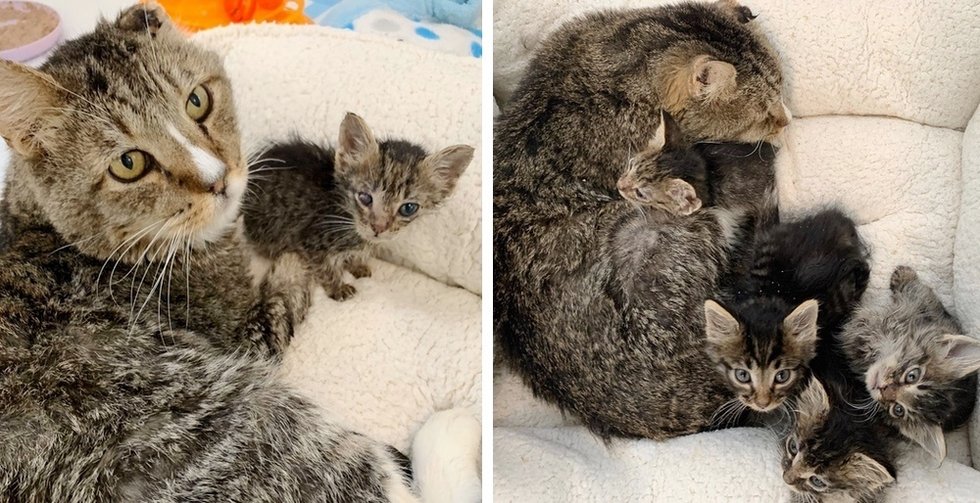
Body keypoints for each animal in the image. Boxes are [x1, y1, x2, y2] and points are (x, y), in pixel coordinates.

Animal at [0, 4, 418, 503]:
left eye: (197, 101)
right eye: (129, 164)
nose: (219, 179)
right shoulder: (247, 337)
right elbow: (284, 293)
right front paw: (296, 259)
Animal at [245, 114, 474, 302]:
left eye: (408, 208)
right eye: (365, 198)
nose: (378, 228)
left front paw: (357, 265)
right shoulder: (310, 241)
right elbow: (325, 267)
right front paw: (337, 287)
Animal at [836, 266, 980, 462]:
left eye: (898, 410)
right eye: (912, 375)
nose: (882, 388)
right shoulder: (927, 307)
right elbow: (918, 289)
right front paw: (903, 274)